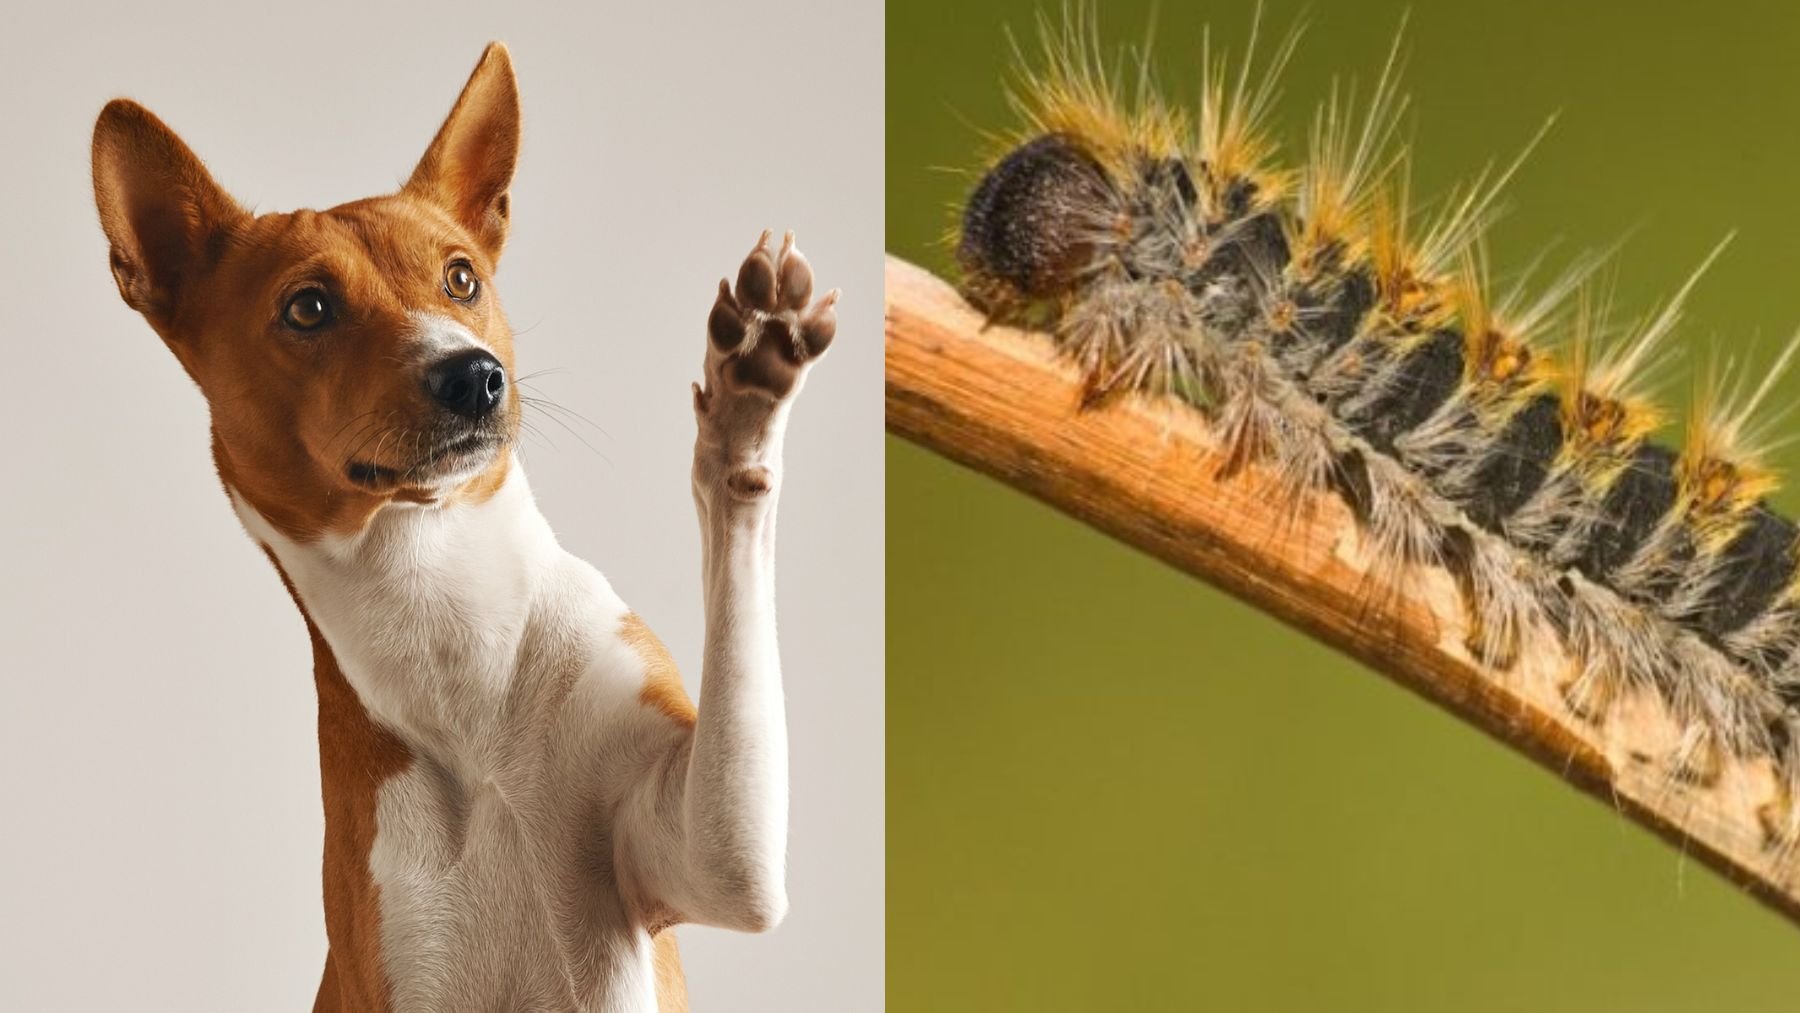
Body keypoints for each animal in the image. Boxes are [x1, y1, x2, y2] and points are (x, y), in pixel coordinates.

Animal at [89, 41, 835, 1013]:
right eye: (307, 307)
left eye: (461, 278)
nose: (473, 375)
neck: (454, 644)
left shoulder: (710, 851)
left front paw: (751, 384)